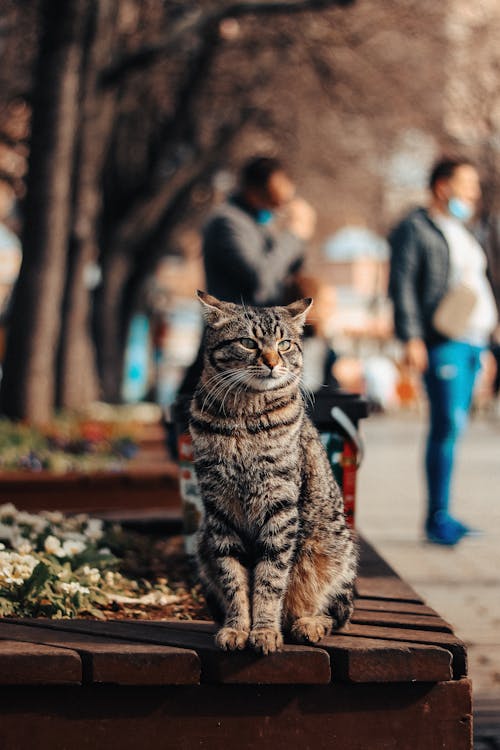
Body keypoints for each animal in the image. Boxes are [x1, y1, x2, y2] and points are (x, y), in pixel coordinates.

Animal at [189, 290, 358, 656]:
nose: (271, 361)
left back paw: (308, 624)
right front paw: (238, 628)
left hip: (333, 547)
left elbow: (270, 578)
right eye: (248, 342)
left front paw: (265, 631)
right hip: (202, 542)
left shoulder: (279, 505)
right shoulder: (219, 509)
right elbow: (234, 579)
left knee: (336, 613)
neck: (243, 419)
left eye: (284, 344)